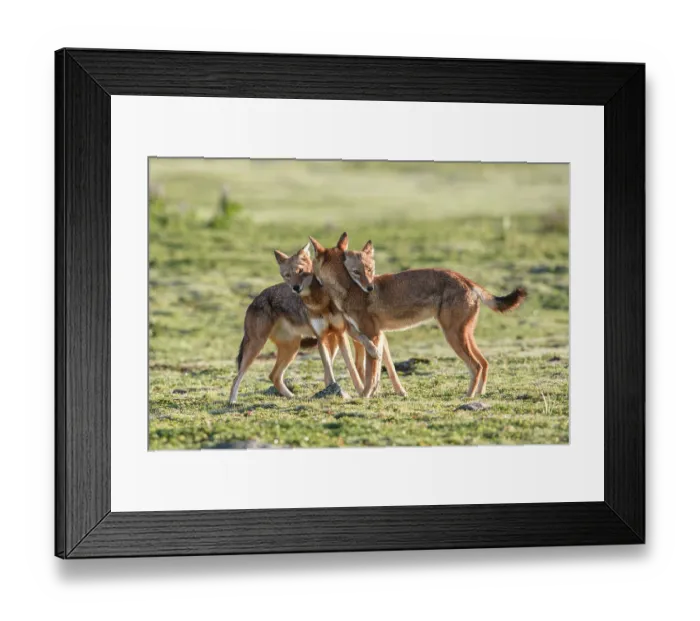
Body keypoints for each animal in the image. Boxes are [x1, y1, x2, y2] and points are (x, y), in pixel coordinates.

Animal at [309, 233, 527, 398]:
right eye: (356, 272)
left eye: (370, 270)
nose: (370, 288)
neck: (349, 291)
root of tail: (466, 279)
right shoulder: (373, 335)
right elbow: (376, 371)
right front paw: (373, 393)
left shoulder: (373, 335)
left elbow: (371, 373)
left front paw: (366, 395)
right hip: (463, 336)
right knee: (484, 363)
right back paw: (479, 394)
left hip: (453, 337)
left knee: (476, 366)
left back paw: (468, 397)